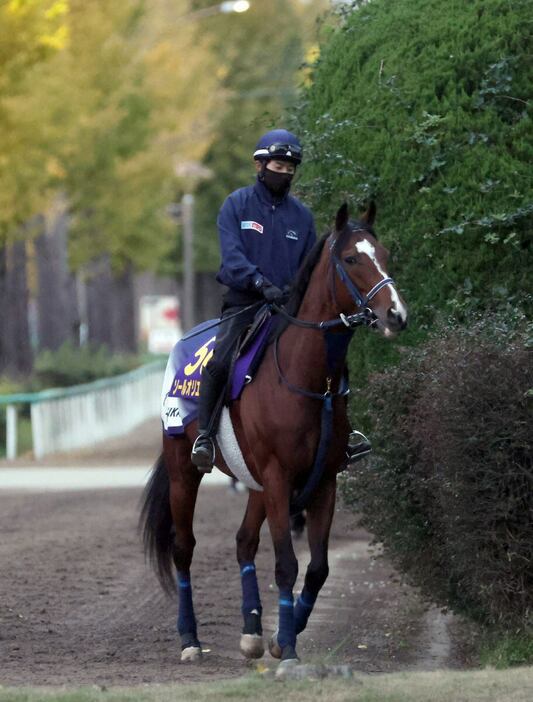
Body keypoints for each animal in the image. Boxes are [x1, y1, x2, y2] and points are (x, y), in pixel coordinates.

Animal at [141, 201, 408, 672]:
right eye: (352, 259)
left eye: (384, 254)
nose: (396, 314)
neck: (309, 380)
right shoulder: (280, 478)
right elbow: (286, 564)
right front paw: (287, 643)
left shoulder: (323, 482)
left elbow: (317, 568)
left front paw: (288, 633)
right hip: (183, 471)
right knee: (183, 548)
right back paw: (190, 638)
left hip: (256, 485)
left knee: (244, 542)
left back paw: (250, 632)